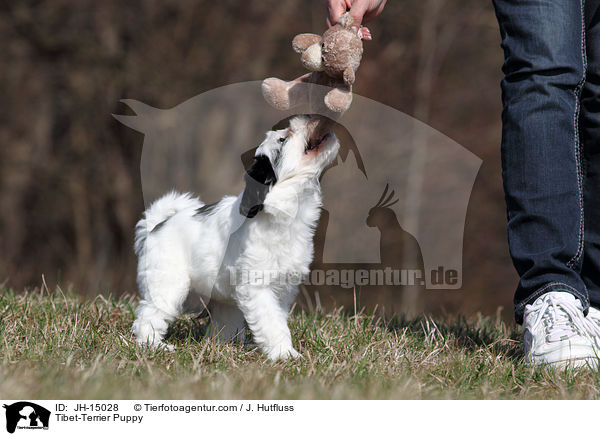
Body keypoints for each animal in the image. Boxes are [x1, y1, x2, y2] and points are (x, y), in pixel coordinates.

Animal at [132, 114, 338, 360]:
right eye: (283, 139)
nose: (308, 117)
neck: (284, 205)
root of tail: (155, 227)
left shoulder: (284, 288)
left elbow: (278, 318)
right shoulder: (258, 288)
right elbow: (272, 322)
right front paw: (285, 354)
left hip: (220, 296)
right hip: (167, 282)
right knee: (150, 314)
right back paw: (154, 346)